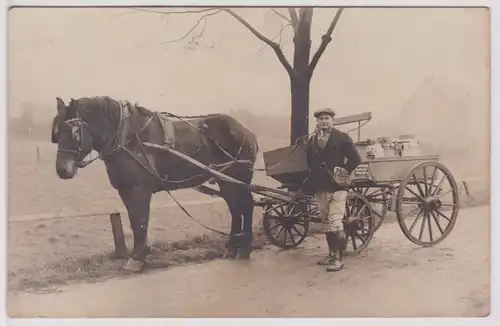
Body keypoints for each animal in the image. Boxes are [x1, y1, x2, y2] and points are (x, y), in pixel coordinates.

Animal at [51, 95, 260, 272]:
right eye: (56, 133)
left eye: (73, 132)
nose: (62, 170)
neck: (129, 138)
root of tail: (246, 131)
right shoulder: (125, 190)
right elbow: (135, 221)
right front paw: (140, 255)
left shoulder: (139, 190)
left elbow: (140, 222)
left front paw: (137, 258)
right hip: (225, 180)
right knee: (235, 208)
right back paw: (232, 248)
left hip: (239, 178)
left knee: (246, 206)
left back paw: (244, 249)